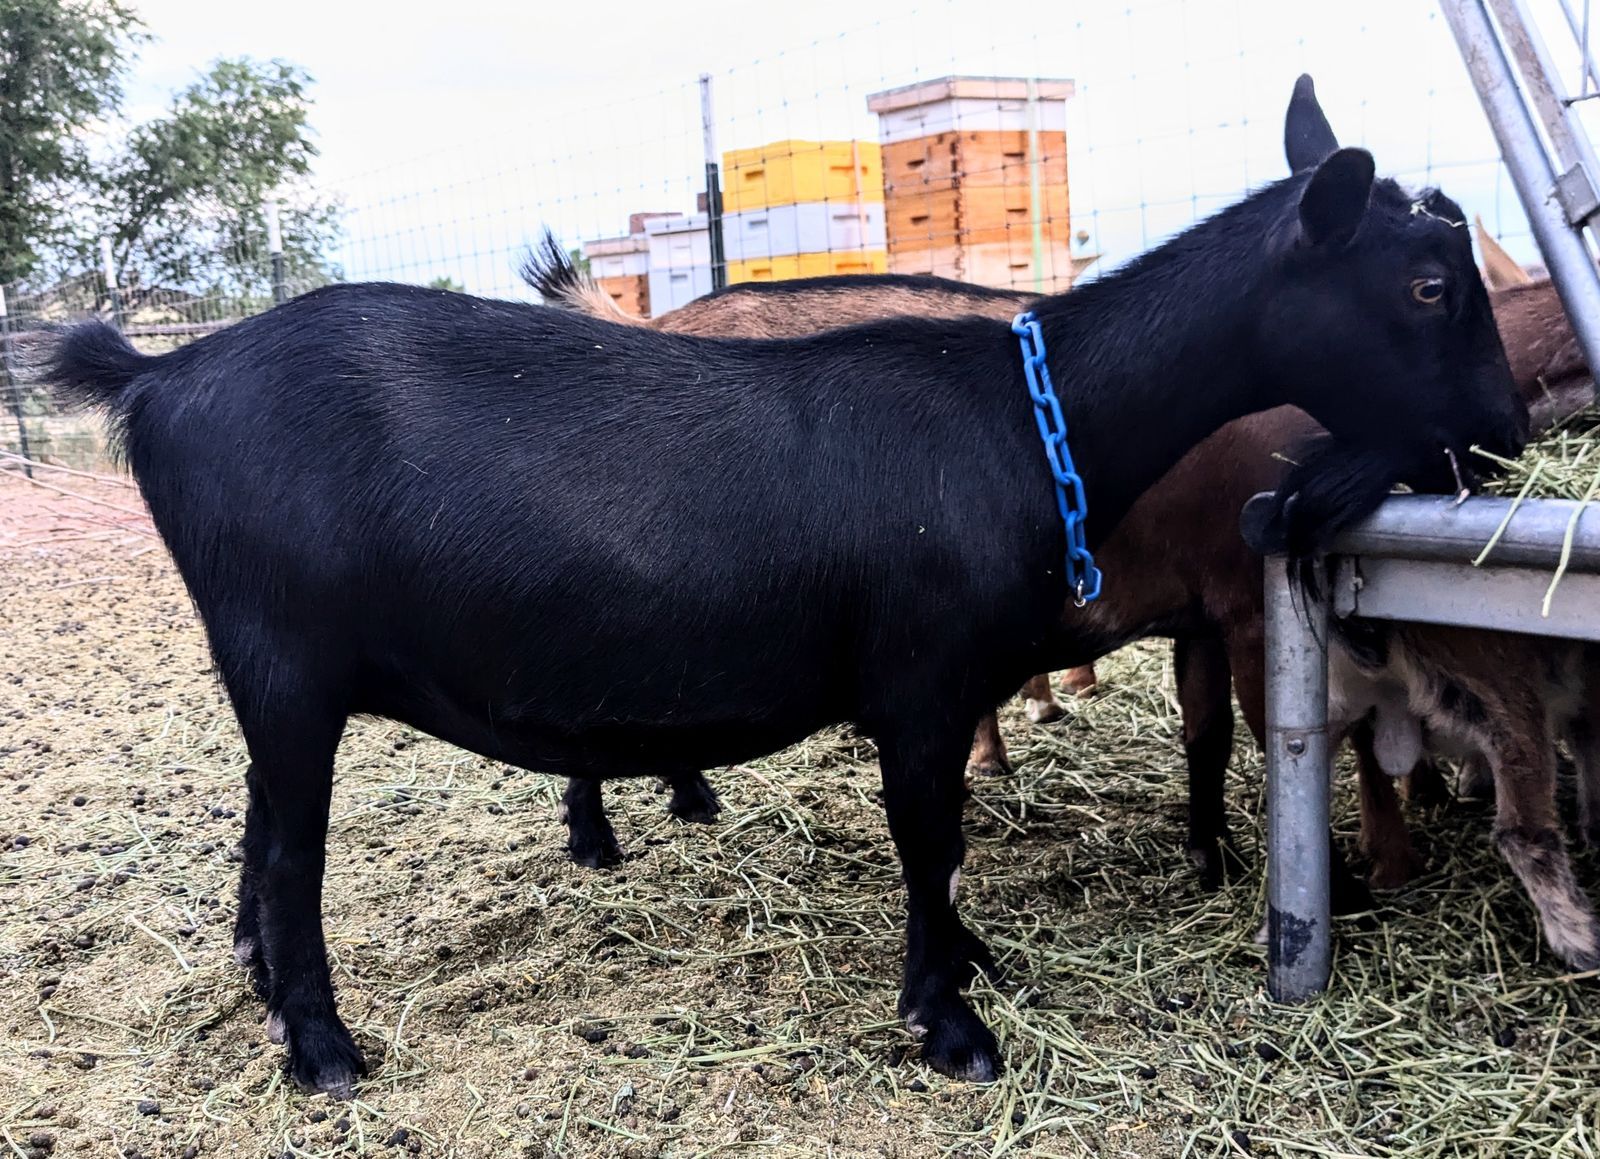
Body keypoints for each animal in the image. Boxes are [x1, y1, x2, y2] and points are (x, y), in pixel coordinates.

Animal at [47, 106, 1525, 1093]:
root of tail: (160, 376)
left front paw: (973, 965)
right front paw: (951, 1022)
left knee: (259, 830)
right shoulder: (921, 677)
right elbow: (930, 837)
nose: (1507, 433)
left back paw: (263, 989)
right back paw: (323, 1046)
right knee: (293, 852)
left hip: (267, 667)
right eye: (1428, 282)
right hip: (288, 657)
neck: (1022, 418)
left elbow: (948, 846)